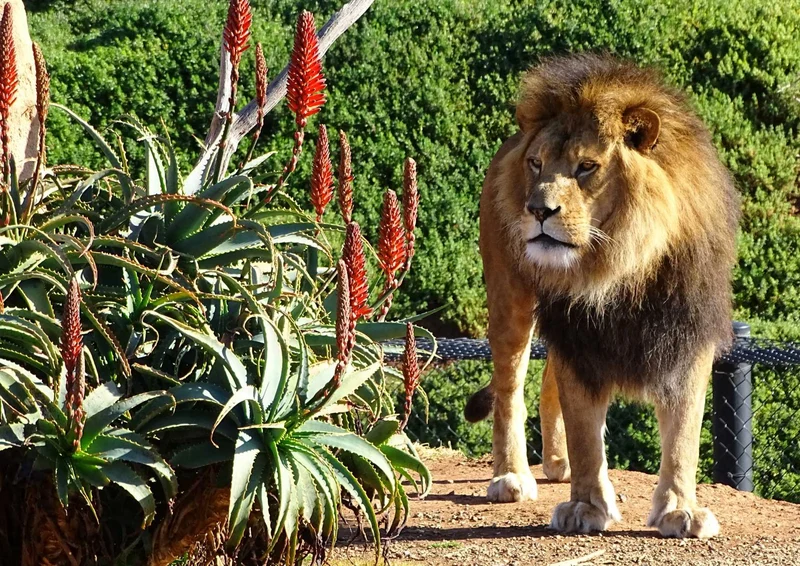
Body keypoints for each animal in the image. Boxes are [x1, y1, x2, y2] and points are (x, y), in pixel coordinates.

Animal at [464, 54, 739, 539]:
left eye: (586, 167)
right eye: (536, 164)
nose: (538, 210)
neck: (620, 265)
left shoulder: (687, 334)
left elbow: (684, 433)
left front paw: (680, 510)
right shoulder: (578, 337)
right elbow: (585, 433)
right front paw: (587, 507)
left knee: (545, 381)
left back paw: (558, 463)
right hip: (508, 298)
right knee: (509, 388)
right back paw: (511, 476)